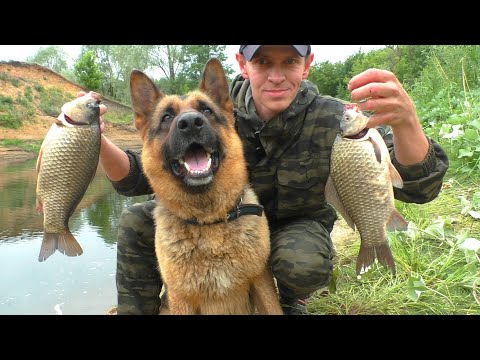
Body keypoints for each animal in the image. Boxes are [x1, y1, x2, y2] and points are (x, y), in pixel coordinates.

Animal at [129, 57, 284, 314]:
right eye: (167, 117)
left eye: (206, 110)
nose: (191, 123)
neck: (209, 220)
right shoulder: (181, 299)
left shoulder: (261, 280)